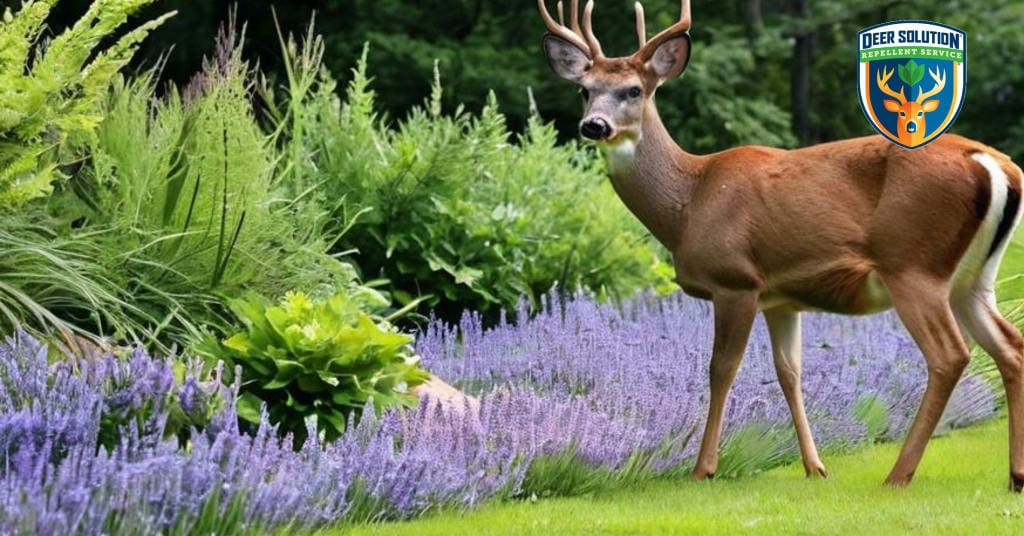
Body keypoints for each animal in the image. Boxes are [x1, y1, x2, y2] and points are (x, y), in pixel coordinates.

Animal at [537, 0, 1024, 491]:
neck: (688, 203)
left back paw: (899, 473)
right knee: (1010, 346)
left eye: (634, 90)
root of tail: (995, 164)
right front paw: (815, 466)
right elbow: (788, 373)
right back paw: (1015, 475)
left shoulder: (735, 280)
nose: (594, 125)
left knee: (950, 354)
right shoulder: (781, 299)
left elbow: (721, 369)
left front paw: (703, 467)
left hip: (913, 263)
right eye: (584, 90)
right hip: (972, 277)